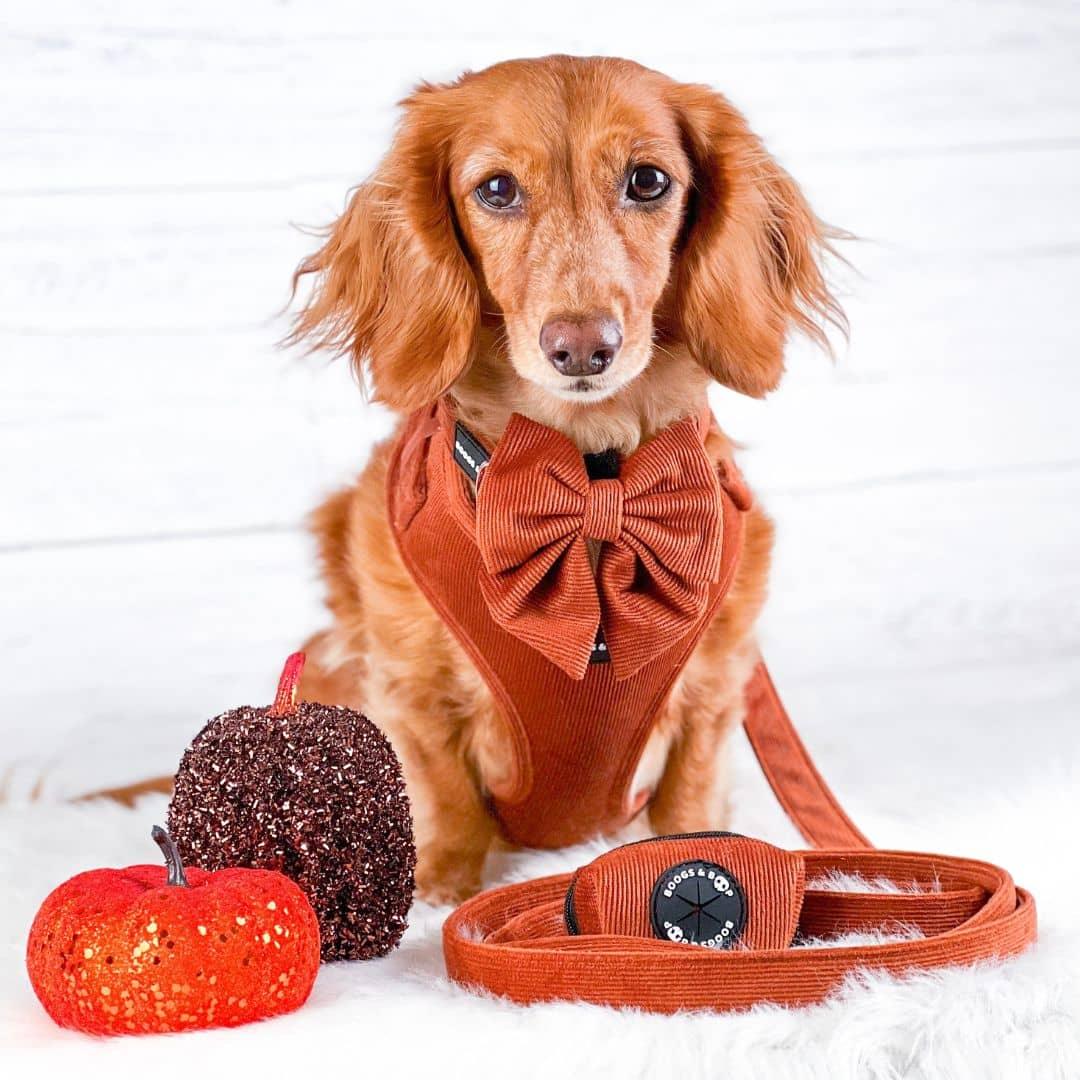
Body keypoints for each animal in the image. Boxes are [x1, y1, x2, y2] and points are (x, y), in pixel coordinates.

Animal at [282, 56, 838, 902]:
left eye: (648, 180)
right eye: (497, 189)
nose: (581, 346)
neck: (592, 486)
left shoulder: (714, 691)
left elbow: (689, 801)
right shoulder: (409, 691)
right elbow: (444, 798)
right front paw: (440, 896)